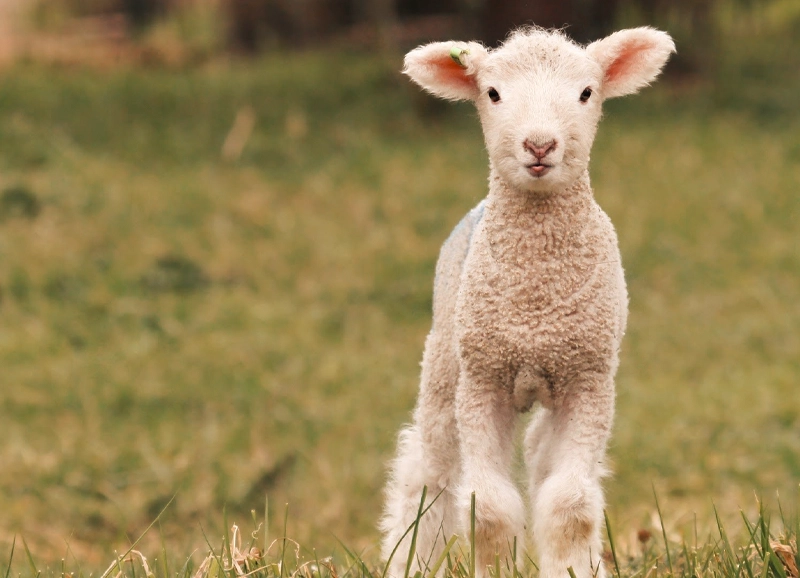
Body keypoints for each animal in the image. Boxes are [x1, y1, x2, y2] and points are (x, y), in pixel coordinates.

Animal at [382, 24, 676, 572]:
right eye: (493, 93)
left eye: (586, 93)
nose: (540, 144)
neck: (536, 306)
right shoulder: (484, 382)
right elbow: (488, 510)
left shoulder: (588, 380)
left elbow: (571, 505)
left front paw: (575, 568)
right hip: (445, 361)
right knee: (429, 468)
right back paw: (412, 560)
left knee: (541, 455)